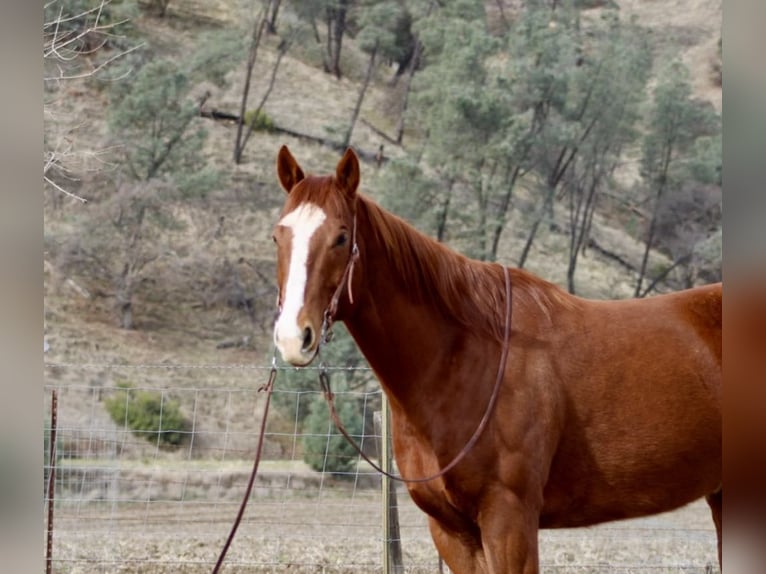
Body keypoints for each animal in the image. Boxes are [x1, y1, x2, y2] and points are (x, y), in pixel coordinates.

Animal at [271, 145, 722, 573]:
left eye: (341, 237)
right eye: (278, 237)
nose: (294, 337)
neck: (464, 360)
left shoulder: (509, 520)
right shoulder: (452, 531)